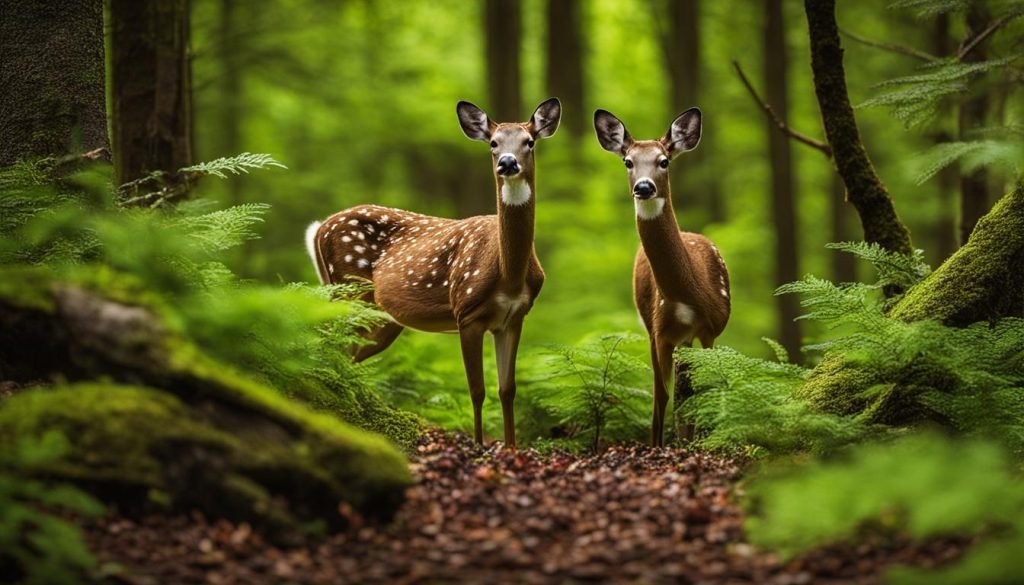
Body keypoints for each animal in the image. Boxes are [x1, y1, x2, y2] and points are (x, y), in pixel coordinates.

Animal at [304, 98, 561, 448]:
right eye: (493, 143)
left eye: (529, 142)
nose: (507, 163)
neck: (509, 273)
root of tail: (318, 229)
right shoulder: (466, 312)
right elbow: (477, 390)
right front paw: (478, 446)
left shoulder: (514, 318)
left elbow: (507, 390)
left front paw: (510, 448)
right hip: (346, 289)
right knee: (333, 344)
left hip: (380, 316)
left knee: (348, 352)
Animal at [593, 108, 730, 447]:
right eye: (628, 161)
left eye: (664, 160)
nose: (644, 187)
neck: (686, 295)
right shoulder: (659, 332)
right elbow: (661, 395)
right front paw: (658, 446)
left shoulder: (710, 328)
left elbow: (703, 388)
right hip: (650, 326)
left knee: (687, 385)